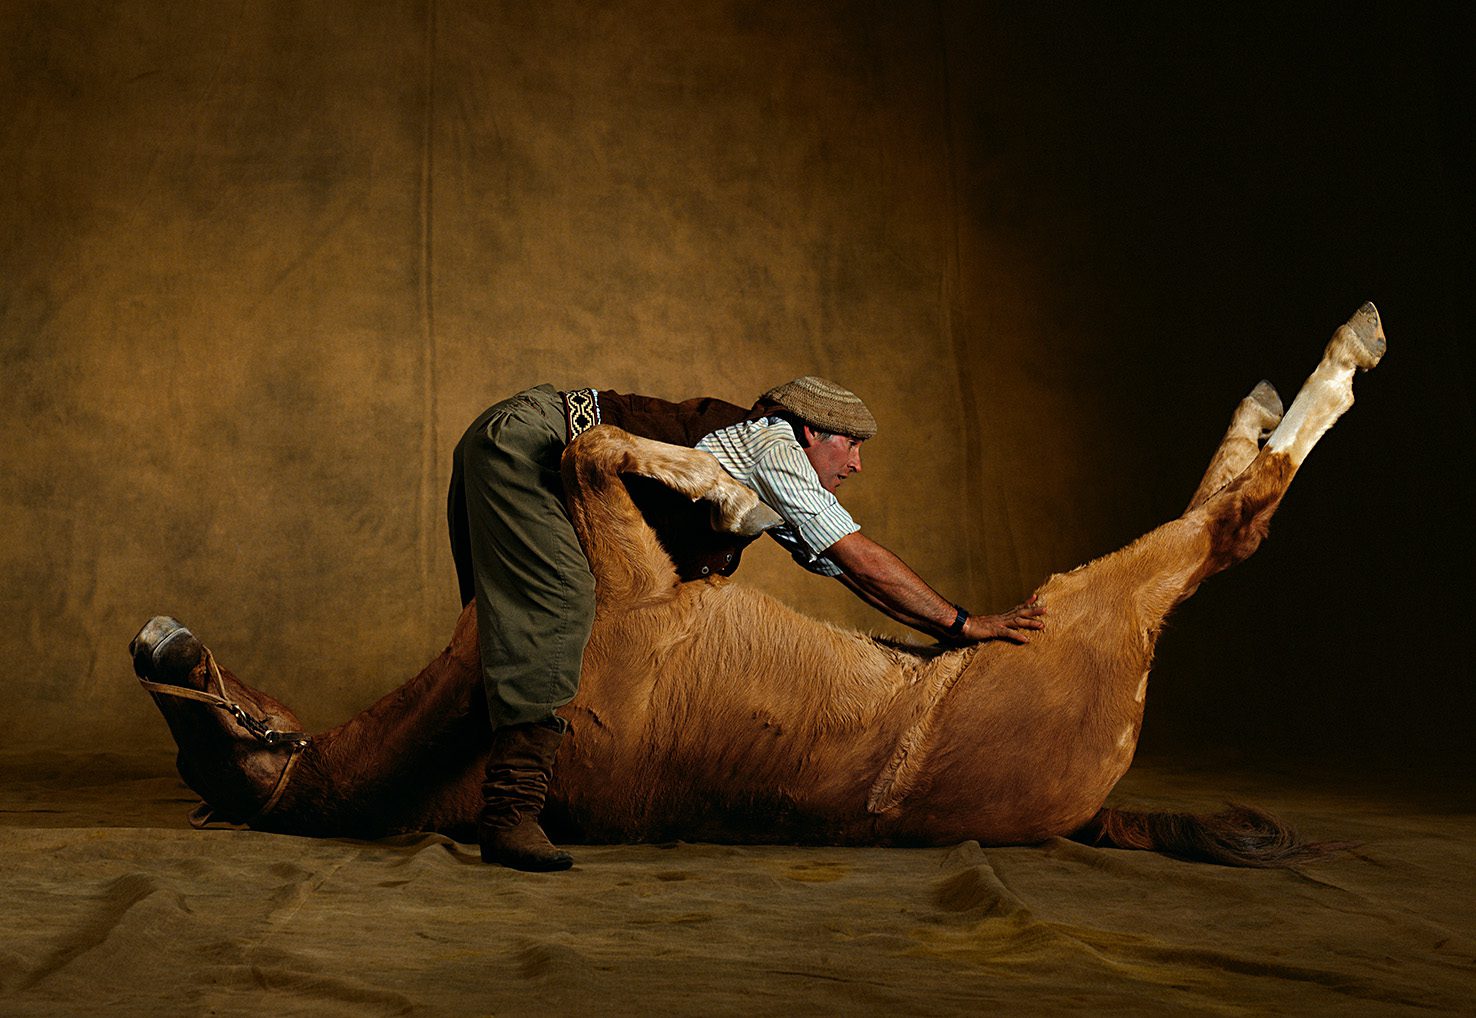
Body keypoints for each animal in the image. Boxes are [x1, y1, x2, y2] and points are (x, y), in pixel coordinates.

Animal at [131, 303, 1385, 866]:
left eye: (205, 714)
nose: (156, 643)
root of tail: (1085, 815)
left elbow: (605, 451)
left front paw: (723, 490)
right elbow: (598, 450)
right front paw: (732, 495)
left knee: (1227, 506)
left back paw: (1282, 386)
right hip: (1099, 607)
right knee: (1229, 526)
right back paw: (1334, 364)